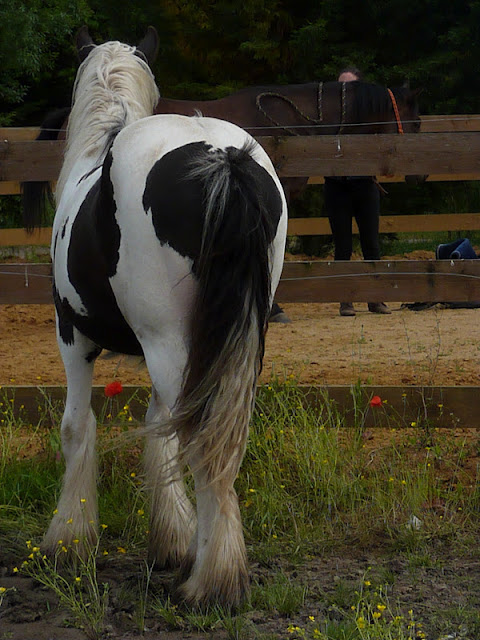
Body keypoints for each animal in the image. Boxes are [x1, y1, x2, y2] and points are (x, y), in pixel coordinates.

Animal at [37, 25, 286, 604]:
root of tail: (224, 158)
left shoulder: (72, 336)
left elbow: (76, 427)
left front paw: (69, 541)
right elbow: (159, 430)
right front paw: (172, 542)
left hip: (167, 343)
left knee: (204, 444)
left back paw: (210, 583)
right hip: (230, 346)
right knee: (220, 440)